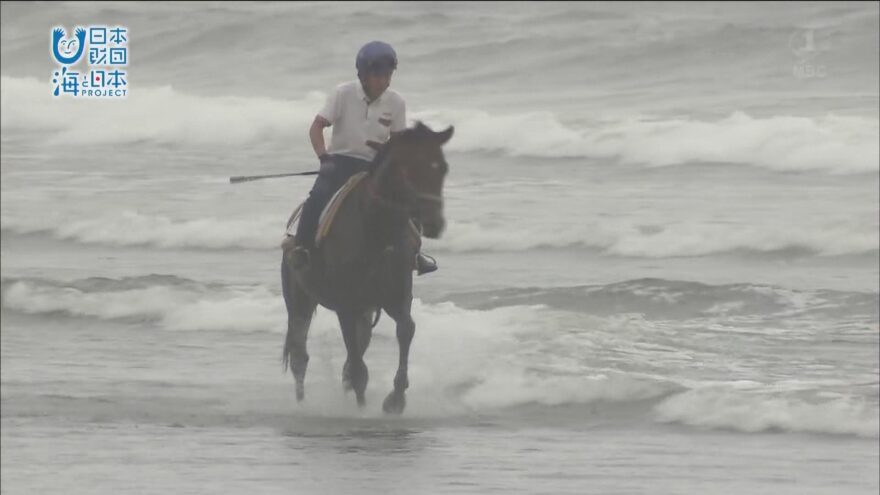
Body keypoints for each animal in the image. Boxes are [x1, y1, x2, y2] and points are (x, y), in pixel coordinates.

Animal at [280, 121, 454, 414]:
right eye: (408, 169)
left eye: (442, 167)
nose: (434, 224)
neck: (376, 230)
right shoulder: (346, 303)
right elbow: (356, 363)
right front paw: (363, 407)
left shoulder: (396, 297)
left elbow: (405, 330)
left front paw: (395, 398)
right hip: (299, 301)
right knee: (299, 353)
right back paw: (303, 404)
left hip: (366, 310)